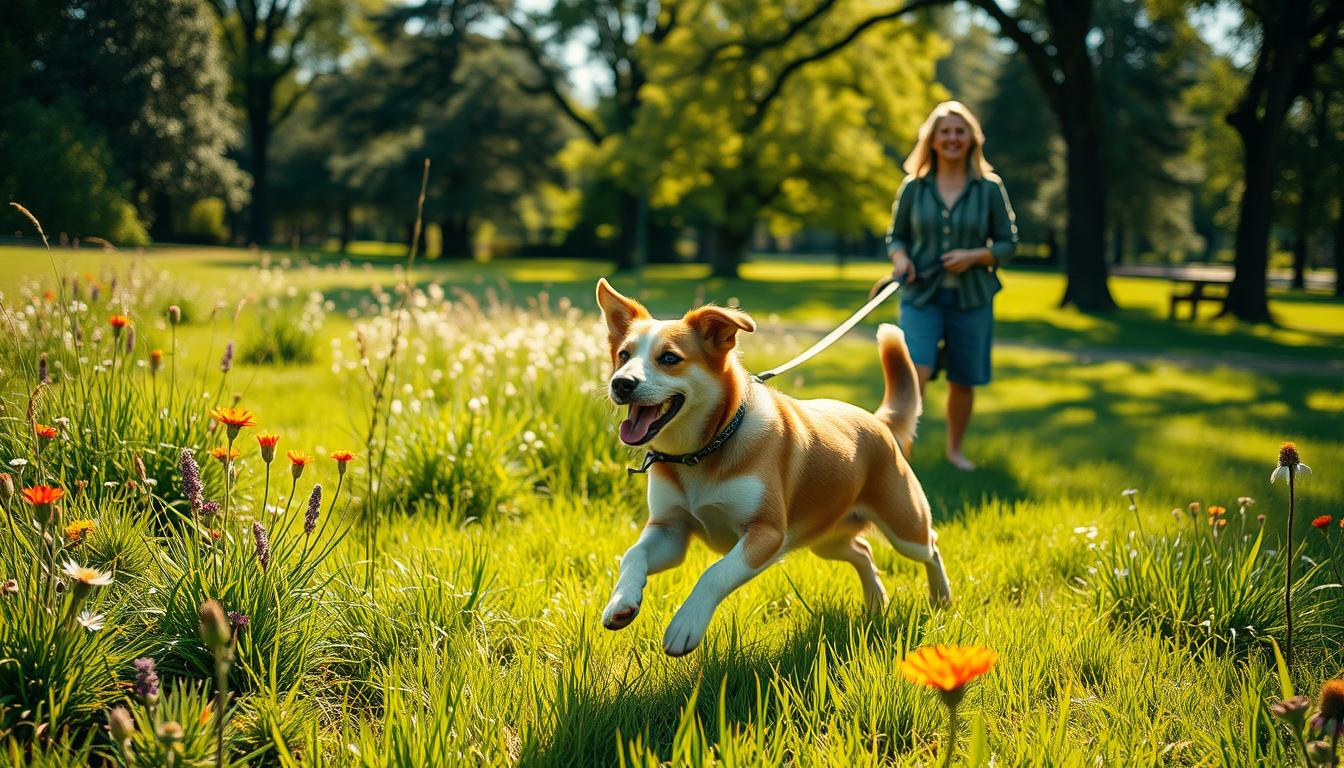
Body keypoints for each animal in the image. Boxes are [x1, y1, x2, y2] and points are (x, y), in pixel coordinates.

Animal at [594, 279, 951, 659]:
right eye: (624, 355)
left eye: (669, 359)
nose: (621, 383)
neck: (706, 449)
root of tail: (879, 421)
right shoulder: (670, 529)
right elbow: (633, 555)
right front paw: (621, 602)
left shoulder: (766, 533)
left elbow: (715, 573)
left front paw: (685, 624)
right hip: (828, 537)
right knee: (862, 552)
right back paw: (875, 599)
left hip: (905, 526)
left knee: (931, 546)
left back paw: (941, 597)